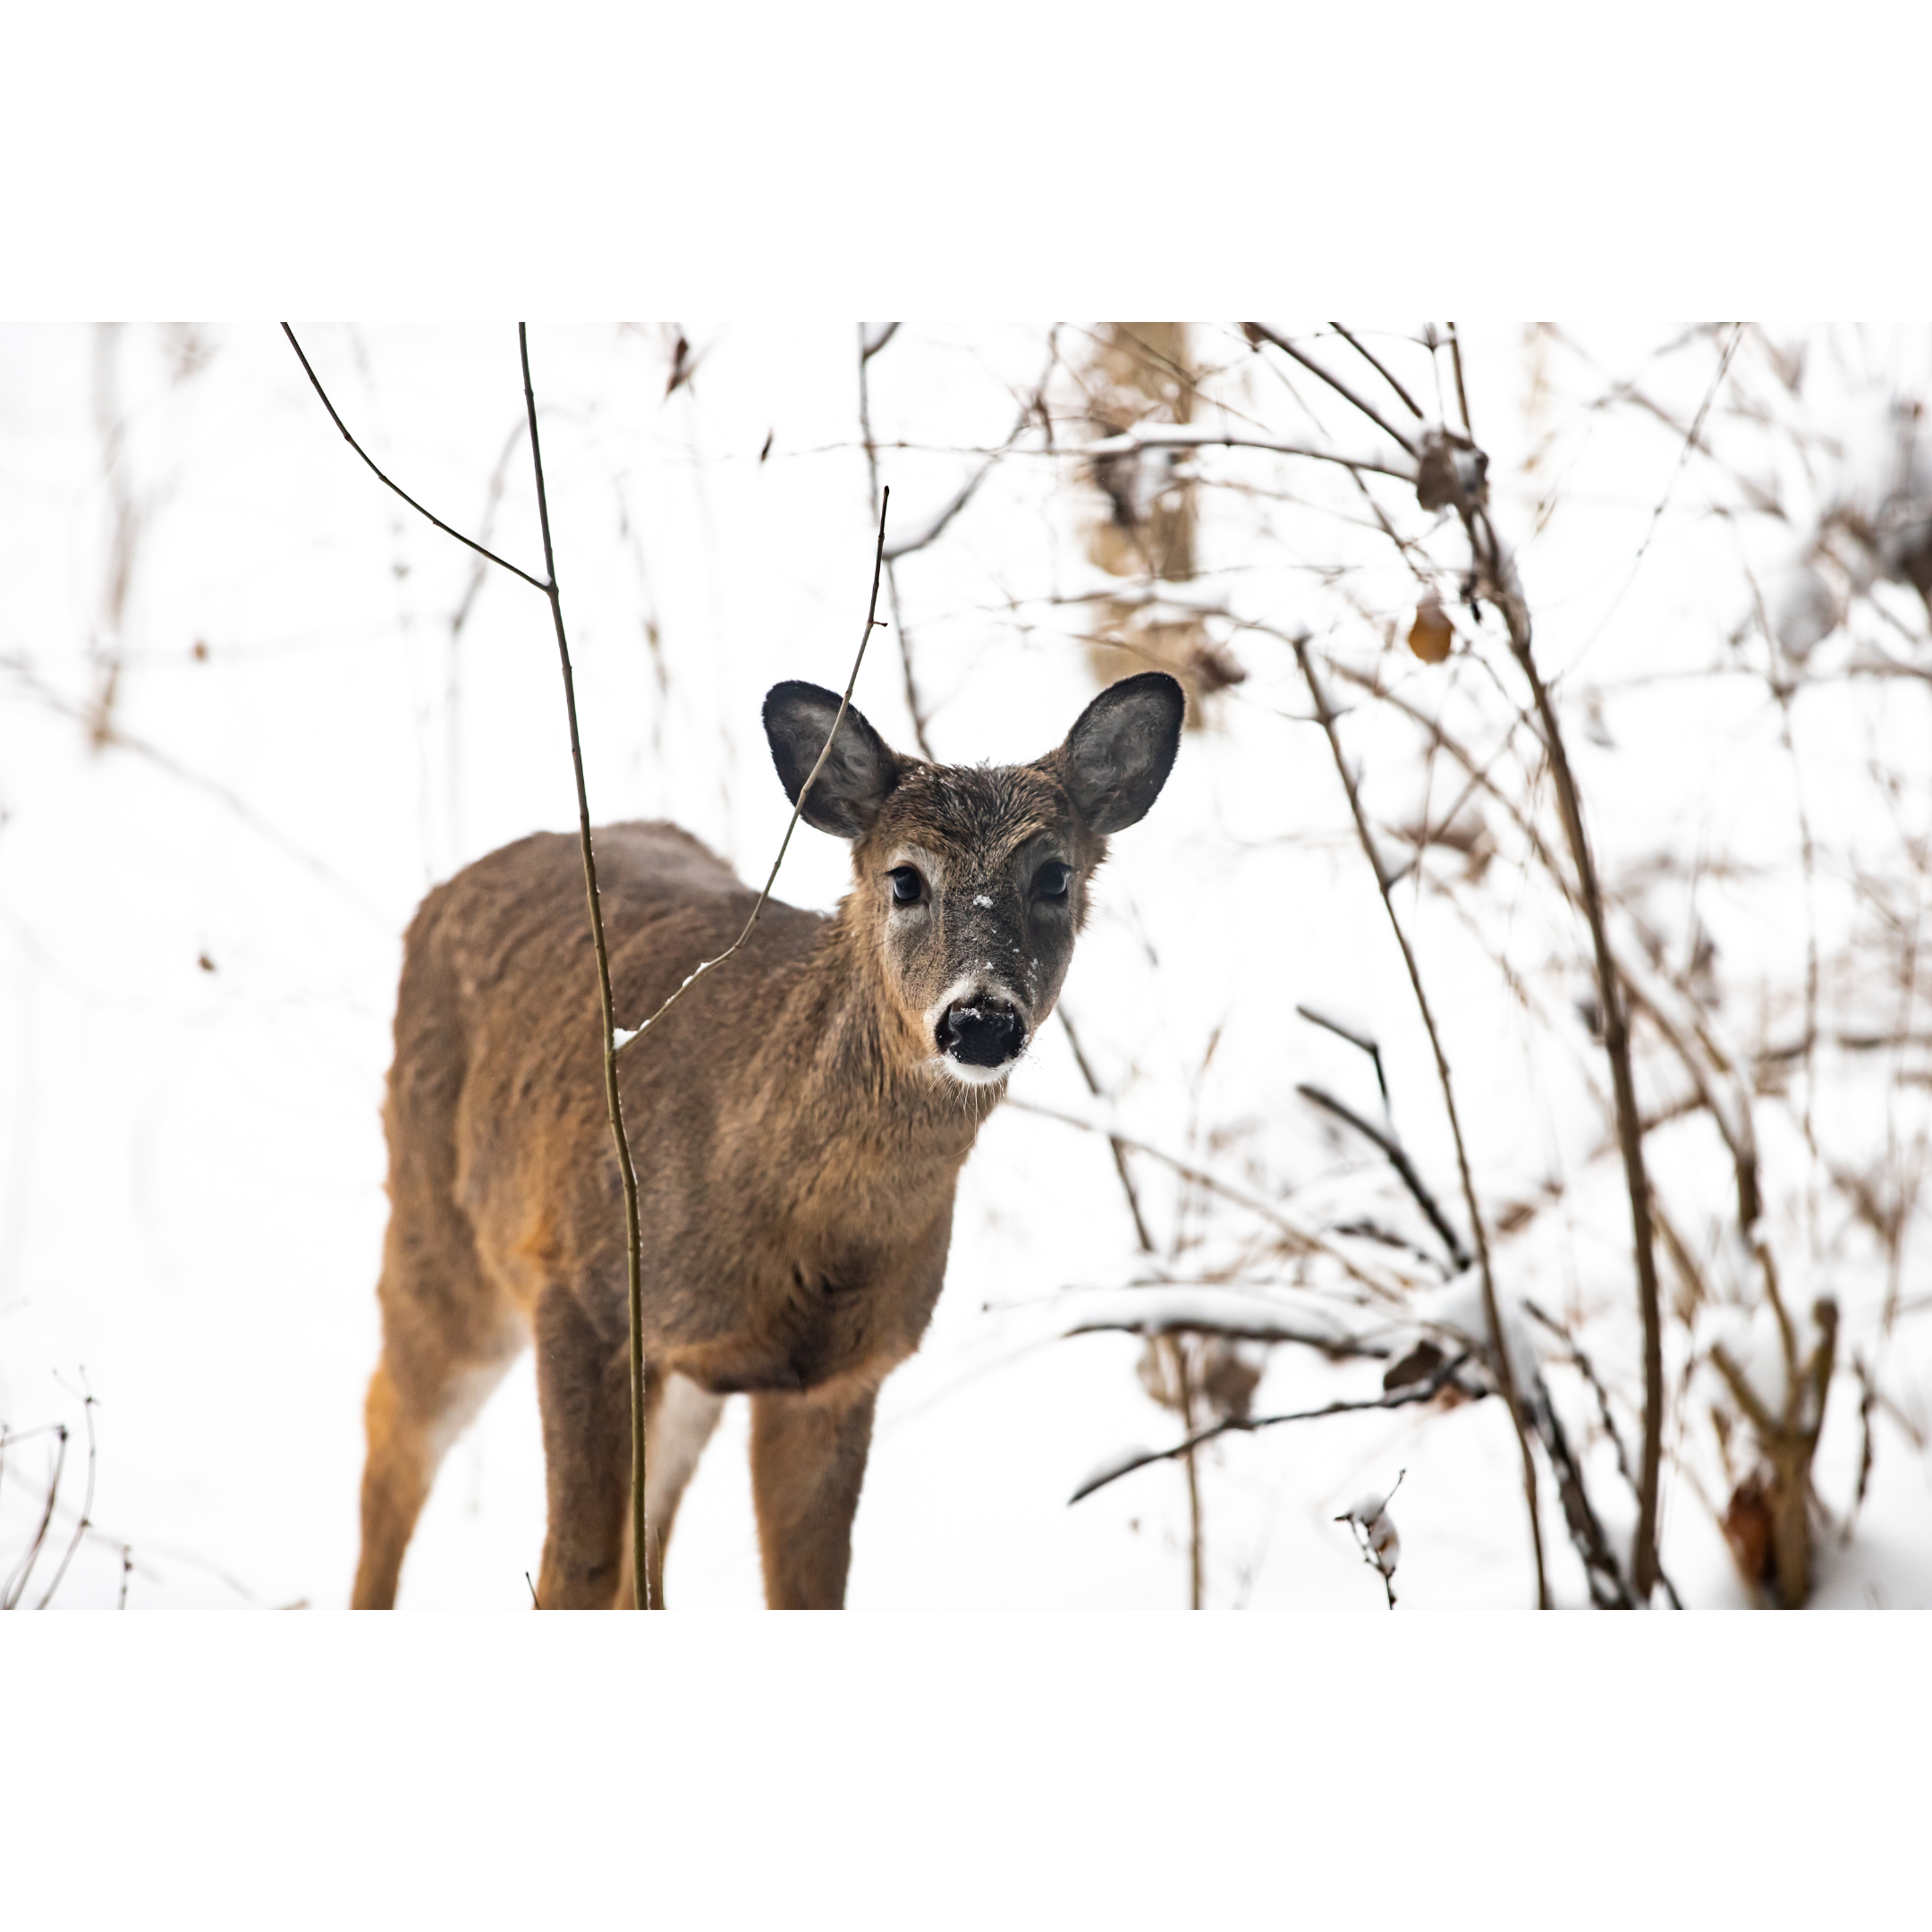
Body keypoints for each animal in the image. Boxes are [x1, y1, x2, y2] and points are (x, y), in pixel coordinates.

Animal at [350, 669, 1185, 1609]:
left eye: (1055, 875)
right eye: (905, 878)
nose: (980, 1019)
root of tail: (446, 889)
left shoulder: (840, 1375)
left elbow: (804, 1587)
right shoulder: (583, 1289)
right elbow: (574, 1567)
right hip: (443, 1231)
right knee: (392, 1436)